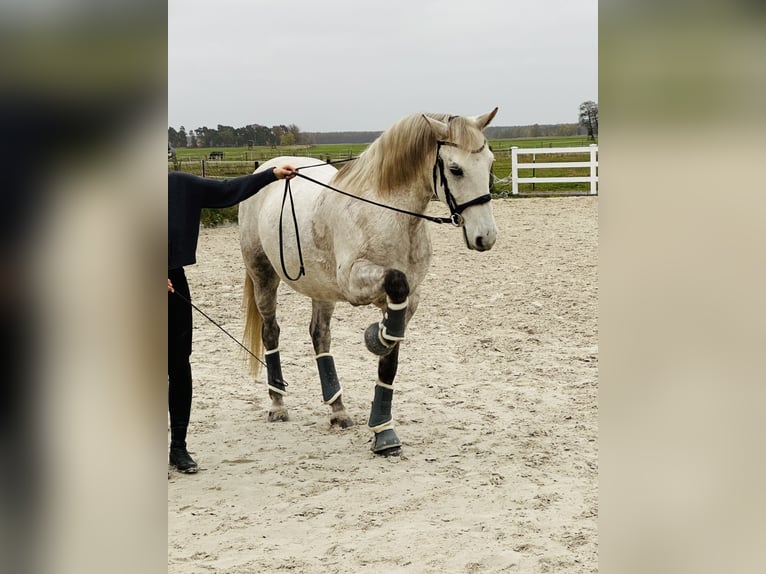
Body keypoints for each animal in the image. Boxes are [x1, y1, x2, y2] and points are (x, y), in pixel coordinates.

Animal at [242, 108, 504, 456]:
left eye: (489, 162)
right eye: (455, 169)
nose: (485, 237)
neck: (390, 214)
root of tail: (269, 168)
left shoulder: (408, 300)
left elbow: (389, 358)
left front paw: (384, 432)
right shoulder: (357, 281)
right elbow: (395, 288)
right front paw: (375, 337)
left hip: (320, 287)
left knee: (320, 336)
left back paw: (338, 410)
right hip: (263, 276)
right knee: (271, 332)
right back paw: (277, 404)